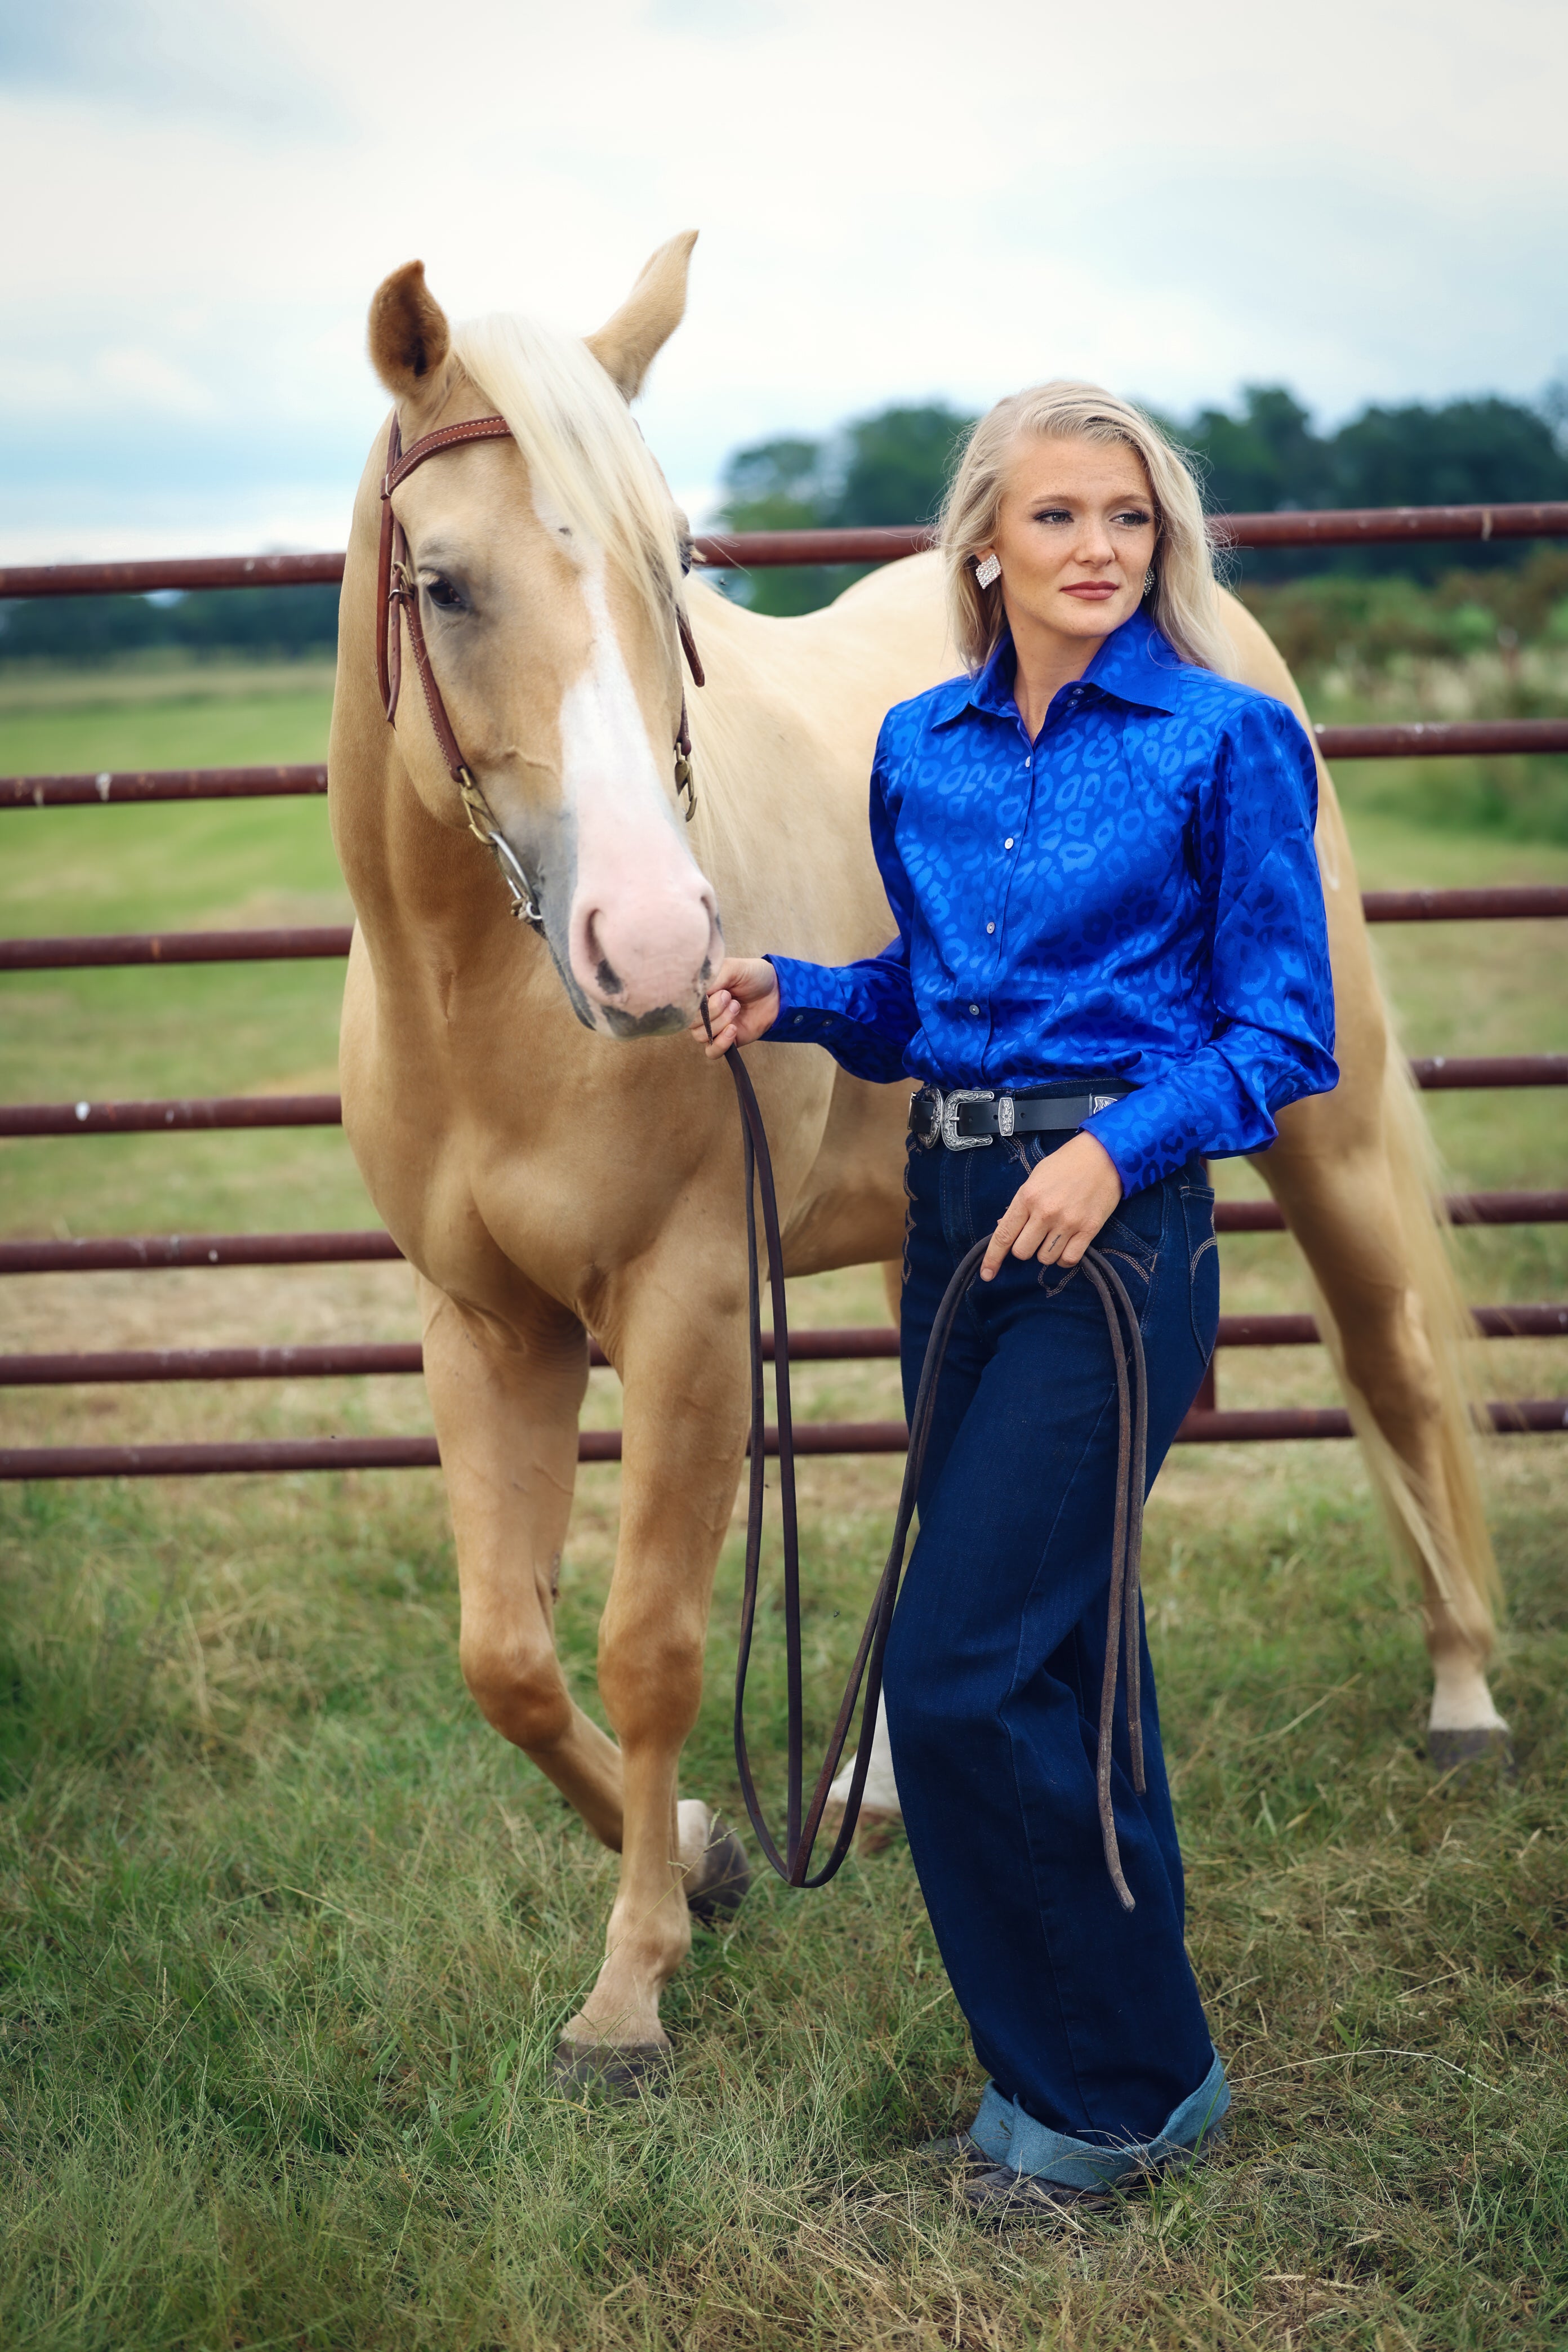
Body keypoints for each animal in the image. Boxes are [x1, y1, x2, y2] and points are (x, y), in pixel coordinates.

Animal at [329, 234, 1504, 2079]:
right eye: (442, 583)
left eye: (673, 568)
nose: (655, 946)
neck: (475, 993)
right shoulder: (481, 1324)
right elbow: (506, 1656)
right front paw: (703, 1851)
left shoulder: (685, 1309)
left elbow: (647, 1644)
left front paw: (630, 1985)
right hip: (936, 1240)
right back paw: (874, 1781)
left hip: (1323, 1133)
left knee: (1390, 1370)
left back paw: (1462, 1695)